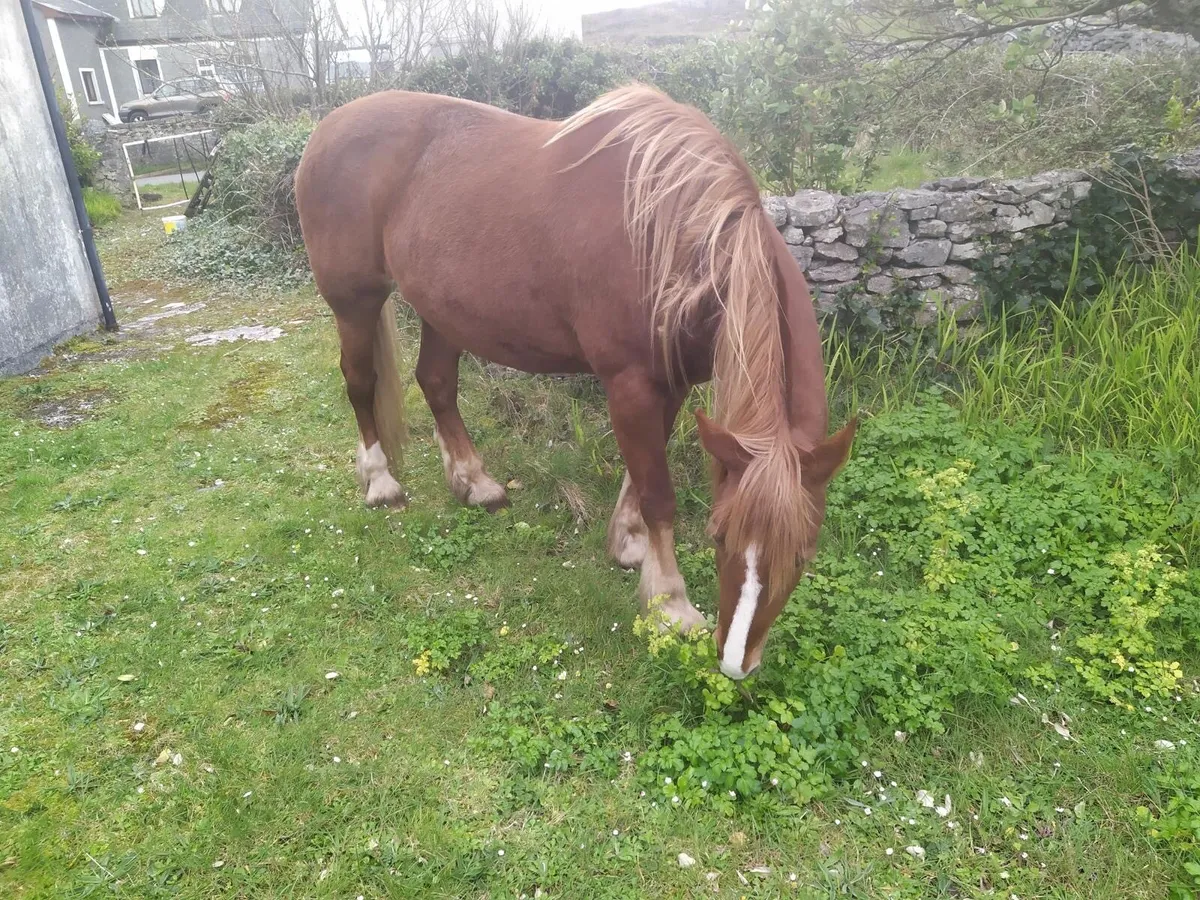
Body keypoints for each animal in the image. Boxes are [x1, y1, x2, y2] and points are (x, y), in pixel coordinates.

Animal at [294, 85, 855, 680]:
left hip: (441, 308)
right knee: (360, 383)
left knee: (437, 383)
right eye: (719, 537)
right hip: (354, 301)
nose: (735, 662)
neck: (671, 232)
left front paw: (629, 547)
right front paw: (671, 605)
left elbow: (640, 477)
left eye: (805, 554)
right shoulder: (630, 383)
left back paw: (475, 482)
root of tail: (327, 127)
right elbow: (658, 493)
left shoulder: (672, 383)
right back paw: (380, 482)